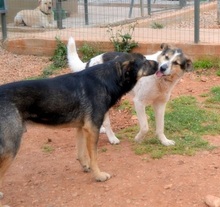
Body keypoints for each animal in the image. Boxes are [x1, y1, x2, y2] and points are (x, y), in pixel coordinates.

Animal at [0, 53, 158, 204]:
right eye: (144, 61)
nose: (159, 64)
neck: (108, 79)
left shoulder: (82, 128)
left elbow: (81, 153)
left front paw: (86, 167)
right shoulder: (92, 129)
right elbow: (94, 157)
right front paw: (98, 175)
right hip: (10, 148)